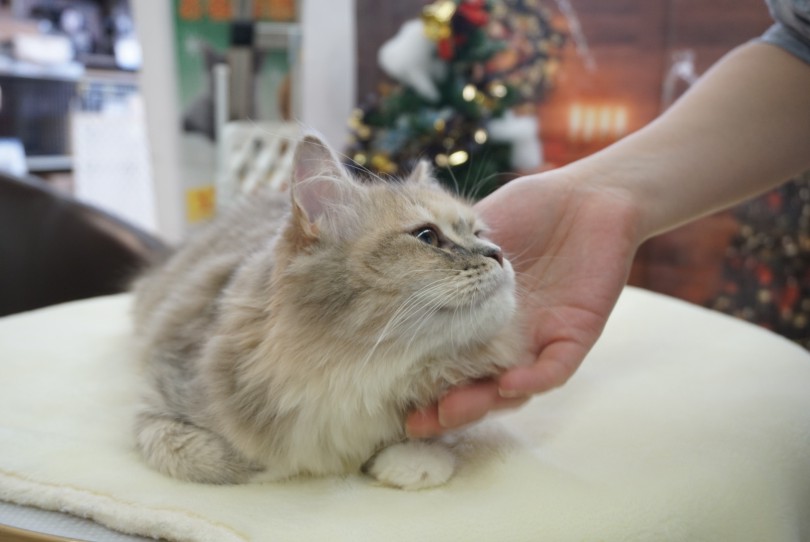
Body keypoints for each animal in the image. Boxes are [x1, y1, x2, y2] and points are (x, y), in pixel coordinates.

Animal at [131, 134, 524, 490]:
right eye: (427, 237)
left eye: (479, 232)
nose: (498, 253)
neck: (352, 374)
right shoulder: (157, 398)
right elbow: (209, 457)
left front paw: (410, 460)